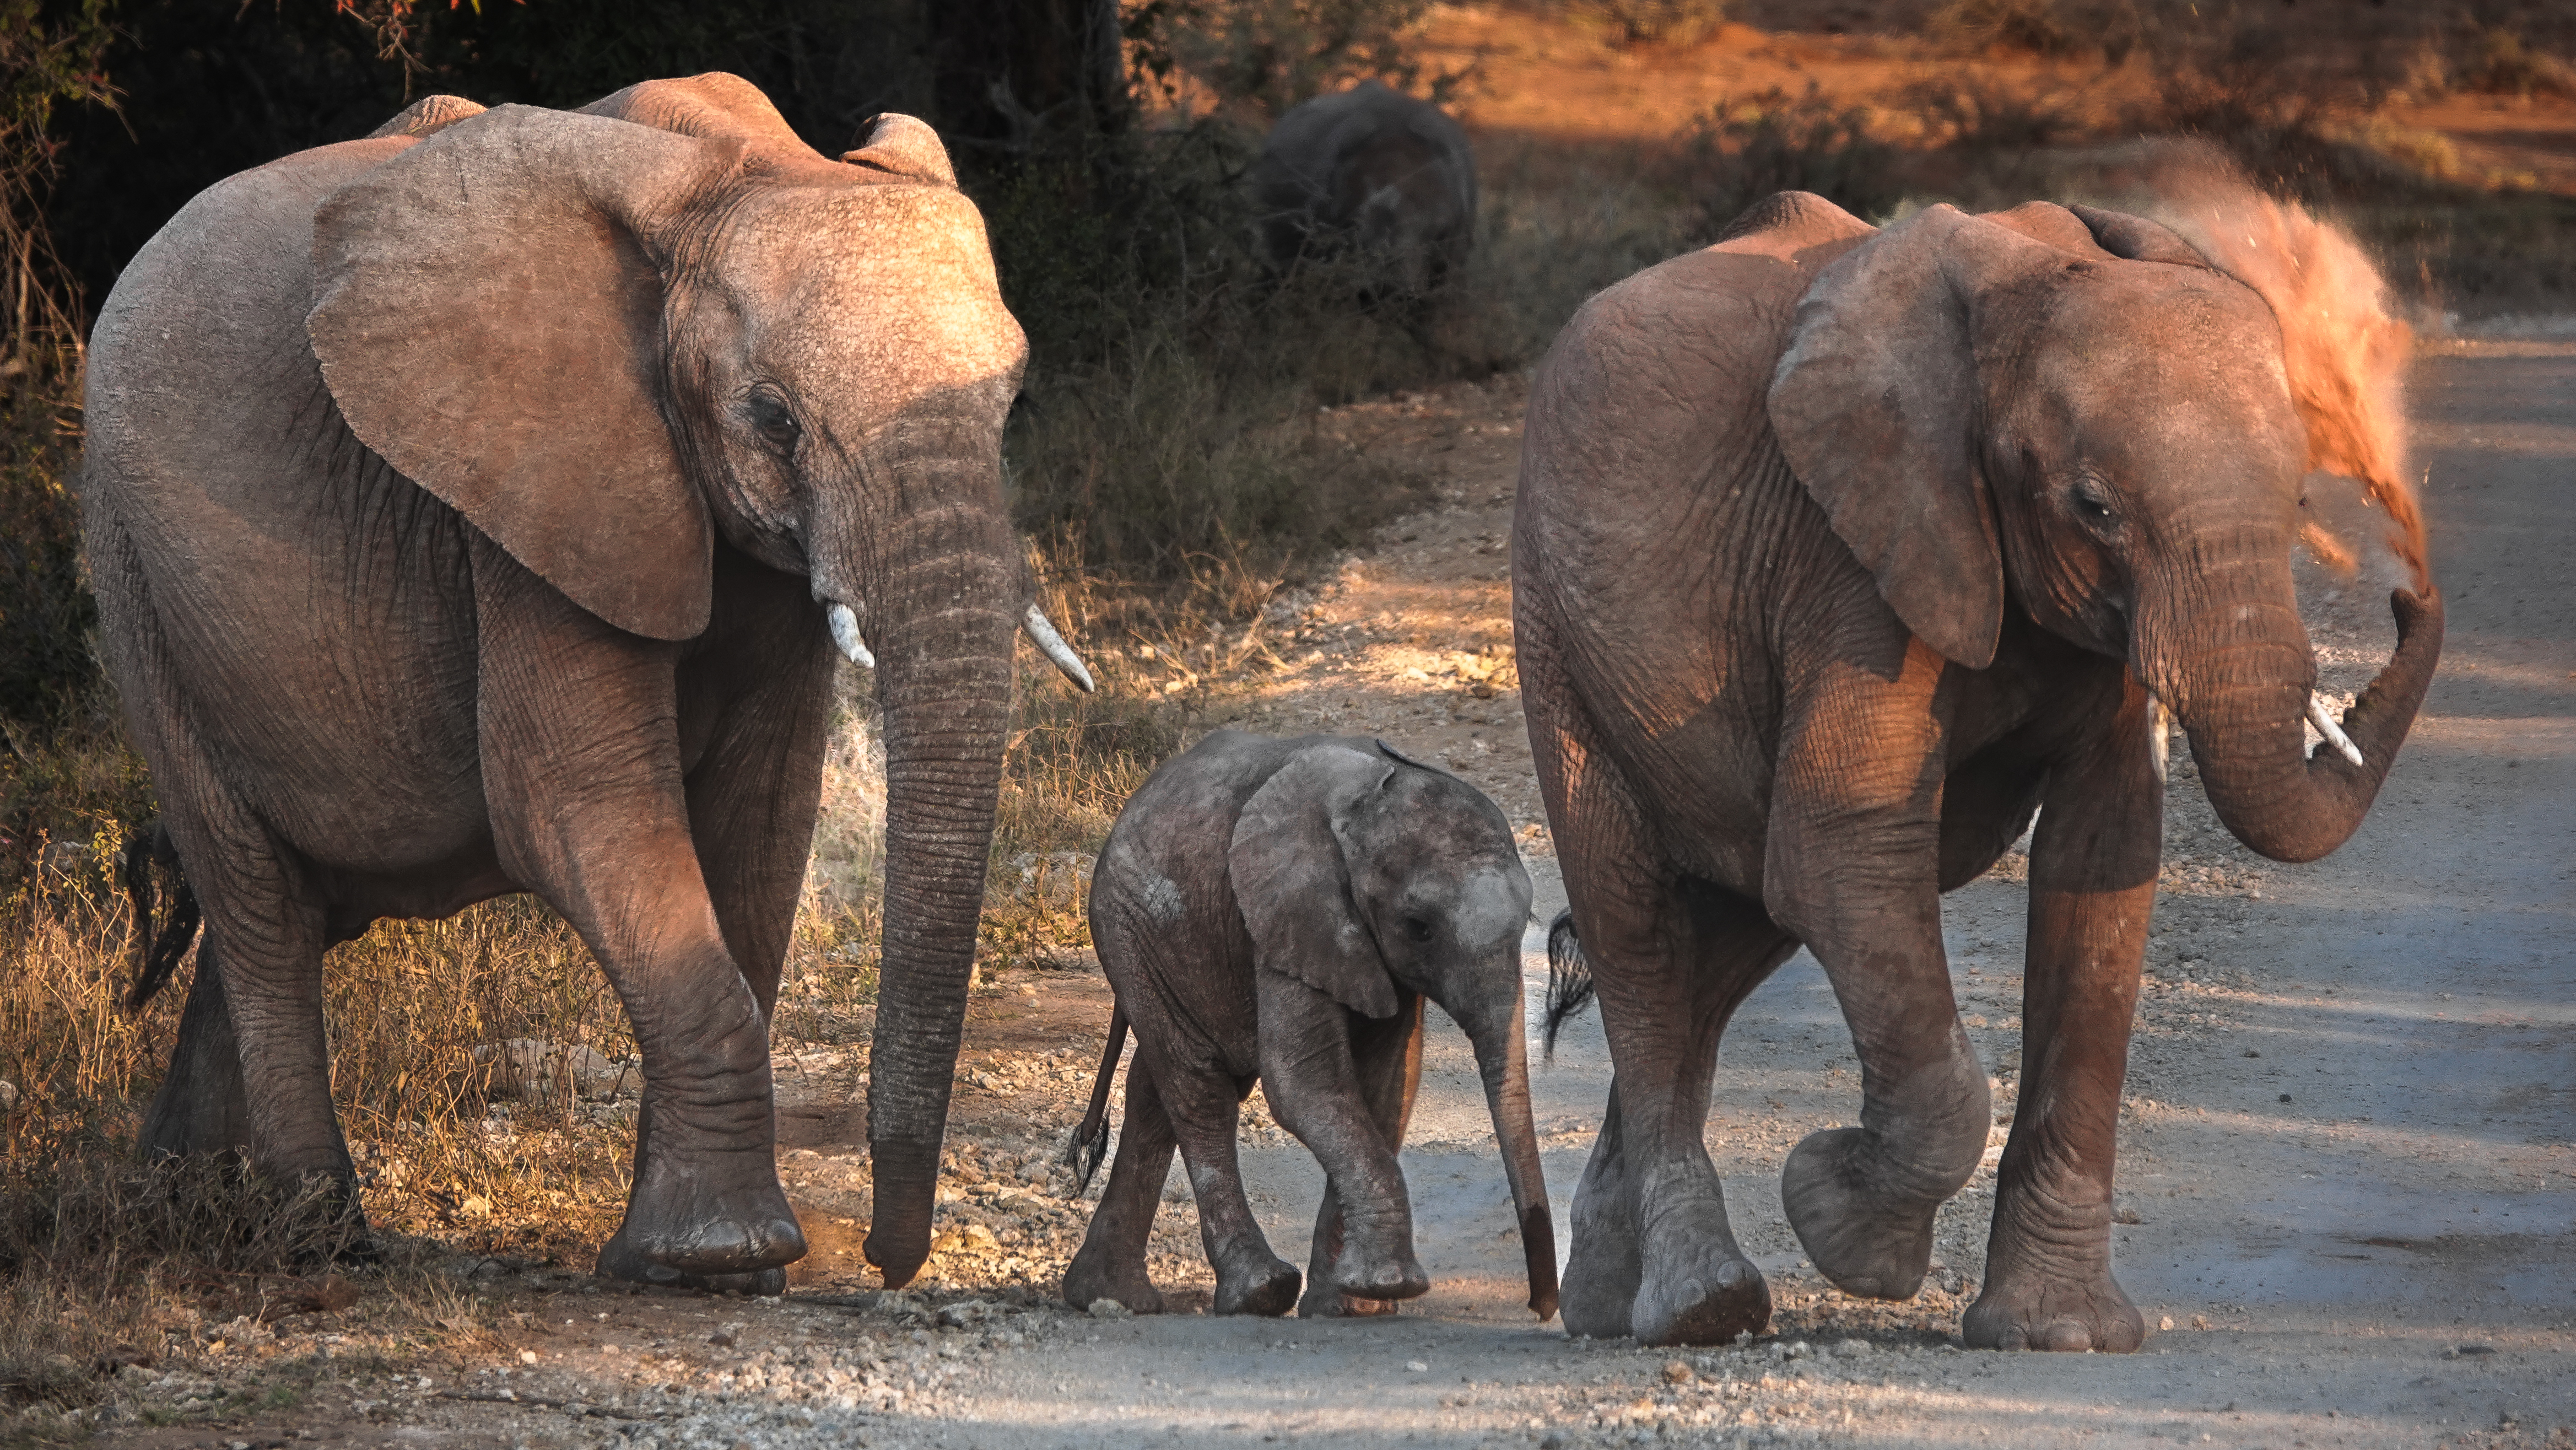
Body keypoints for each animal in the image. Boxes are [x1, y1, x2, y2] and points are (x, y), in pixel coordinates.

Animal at [79, 73, 1093, 1293]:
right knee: (258, 902)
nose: (890, 1261)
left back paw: (190, 1207)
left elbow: (763, 817)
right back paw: (318, 1236)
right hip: (136, 582)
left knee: (291, 913)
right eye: (772, 419)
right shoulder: (525, 500)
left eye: (1013, 403)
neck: (731, 167)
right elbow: (573, 806)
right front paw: (719, 1259)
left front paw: (720, 1266)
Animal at [1056, 732, 1558, 1322]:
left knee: (1156, 1090)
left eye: (1527, 922)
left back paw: (1109, 1296)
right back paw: (1258, 1291)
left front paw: (1351, 1306)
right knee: (1200, 1086)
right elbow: (1304, 1084)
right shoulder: (1291, 913)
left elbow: (1385, 1086)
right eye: (1419, 928)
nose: (1541, 1307)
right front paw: (1387, 1286)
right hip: (1127, 927)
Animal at [1510, 192, 2442, 1350]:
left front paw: (2059, 1336)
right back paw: (1698, 1306)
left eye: (2299, 499)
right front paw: (1842, 1224)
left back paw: (1609, 1303)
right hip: (1555, 628)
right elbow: (1844, 850)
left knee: (1727, 938)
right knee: (1640, 934)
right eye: (2093, 507)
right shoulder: (1857, 547)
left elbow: (2100, 865)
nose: (2410, 588)